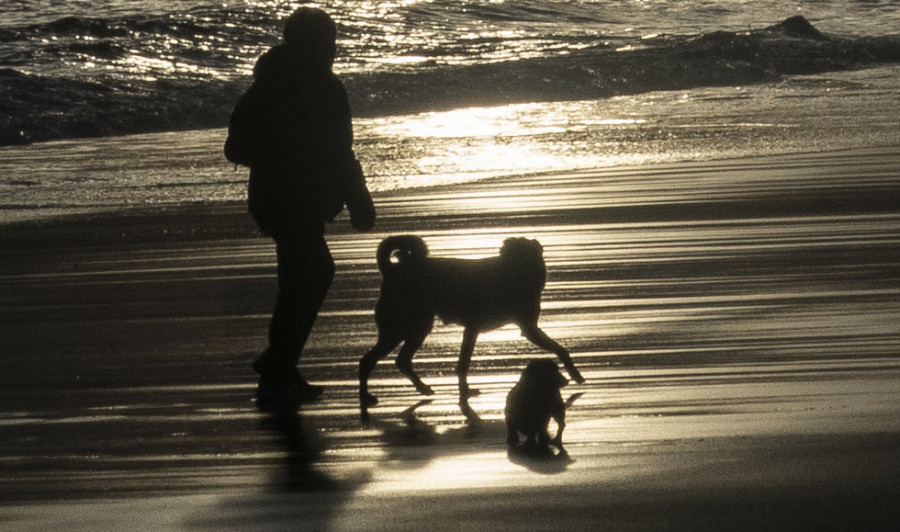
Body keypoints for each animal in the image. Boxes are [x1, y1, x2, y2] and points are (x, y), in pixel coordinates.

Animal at [358, 235, 584, 422]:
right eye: (511, 255)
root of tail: (391, 272)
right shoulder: (525, 329)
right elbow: (560, 349)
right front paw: (576, 374)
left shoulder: (477, 330)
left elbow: (462, 363)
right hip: (409, 328)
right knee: (382, 360)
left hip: (407, 329)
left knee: (390, 360)